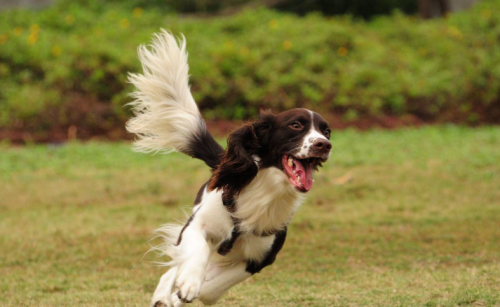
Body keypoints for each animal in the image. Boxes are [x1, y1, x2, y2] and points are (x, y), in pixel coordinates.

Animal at [127, 31, 332, 307]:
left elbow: (211, 290)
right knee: (178, 263)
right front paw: (188, 283)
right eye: (296, 125)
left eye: (326, 131)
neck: (264, 190)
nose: (324, 144)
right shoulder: (197, 225)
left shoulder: (261, 258)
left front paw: (186, 291)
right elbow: (196, 253)